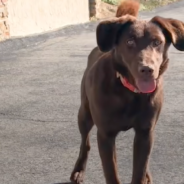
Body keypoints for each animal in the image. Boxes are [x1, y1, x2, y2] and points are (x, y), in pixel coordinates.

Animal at [69, 0, 184, 183]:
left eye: (157, 42)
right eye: (130, 42)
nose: (147, 69)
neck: (130, 93)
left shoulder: (145, 132)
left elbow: (140, 168)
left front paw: (143, 175)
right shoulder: (105, 135)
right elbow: (111, 173)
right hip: (84, 114)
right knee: (84, 142)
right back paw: (79, 170)